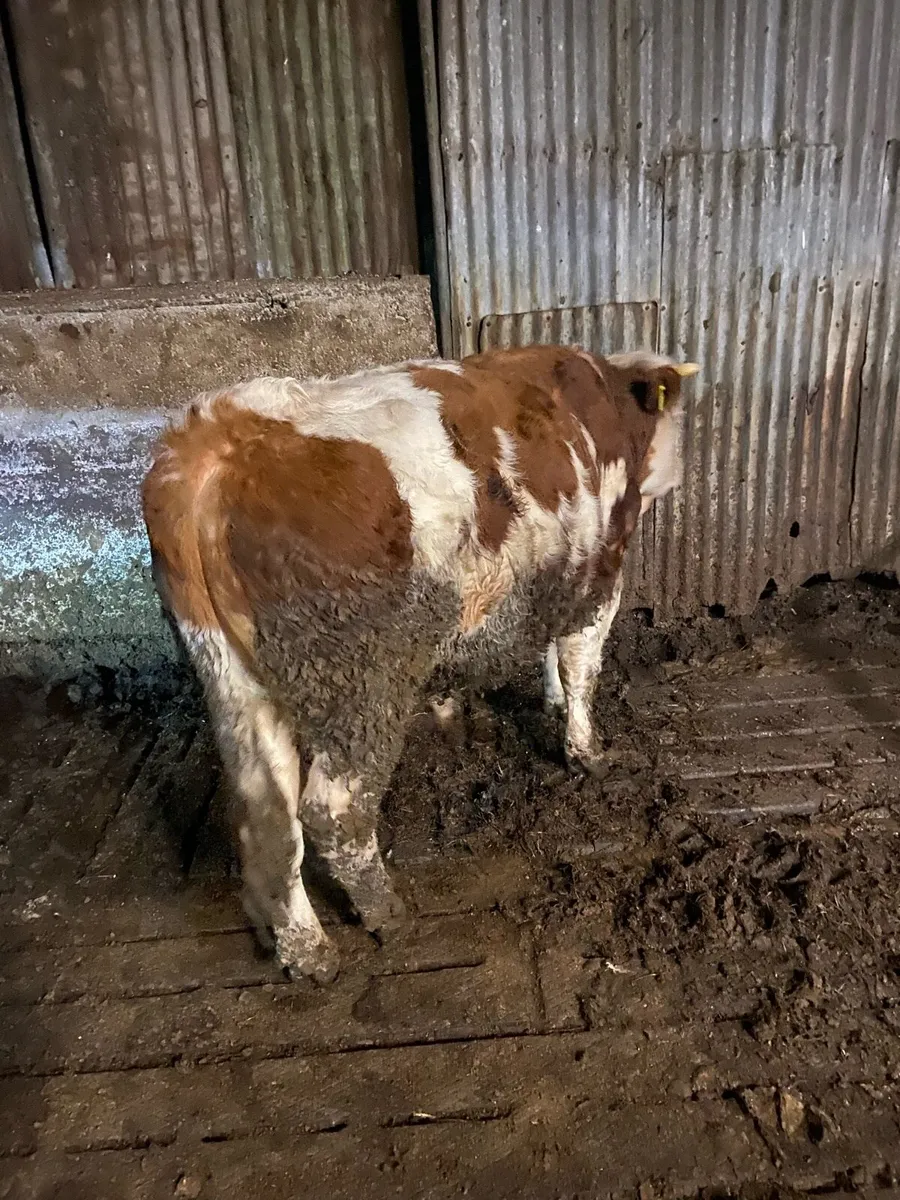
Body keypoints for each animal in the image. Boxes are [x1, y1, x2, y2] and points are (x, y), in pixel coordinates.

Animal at [142, 345, 698, 983]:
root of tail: (219, 438)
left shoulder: (549, 575)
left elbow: (549, 649)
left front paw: (546, 704)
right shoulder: (601, 566)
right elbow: (581, 665)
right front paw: (587, 751)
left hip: (234, 684)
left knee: (265, 816)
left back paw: (307, 950)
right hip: (359, 681)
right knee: (332, 810)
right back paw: (386, 913)